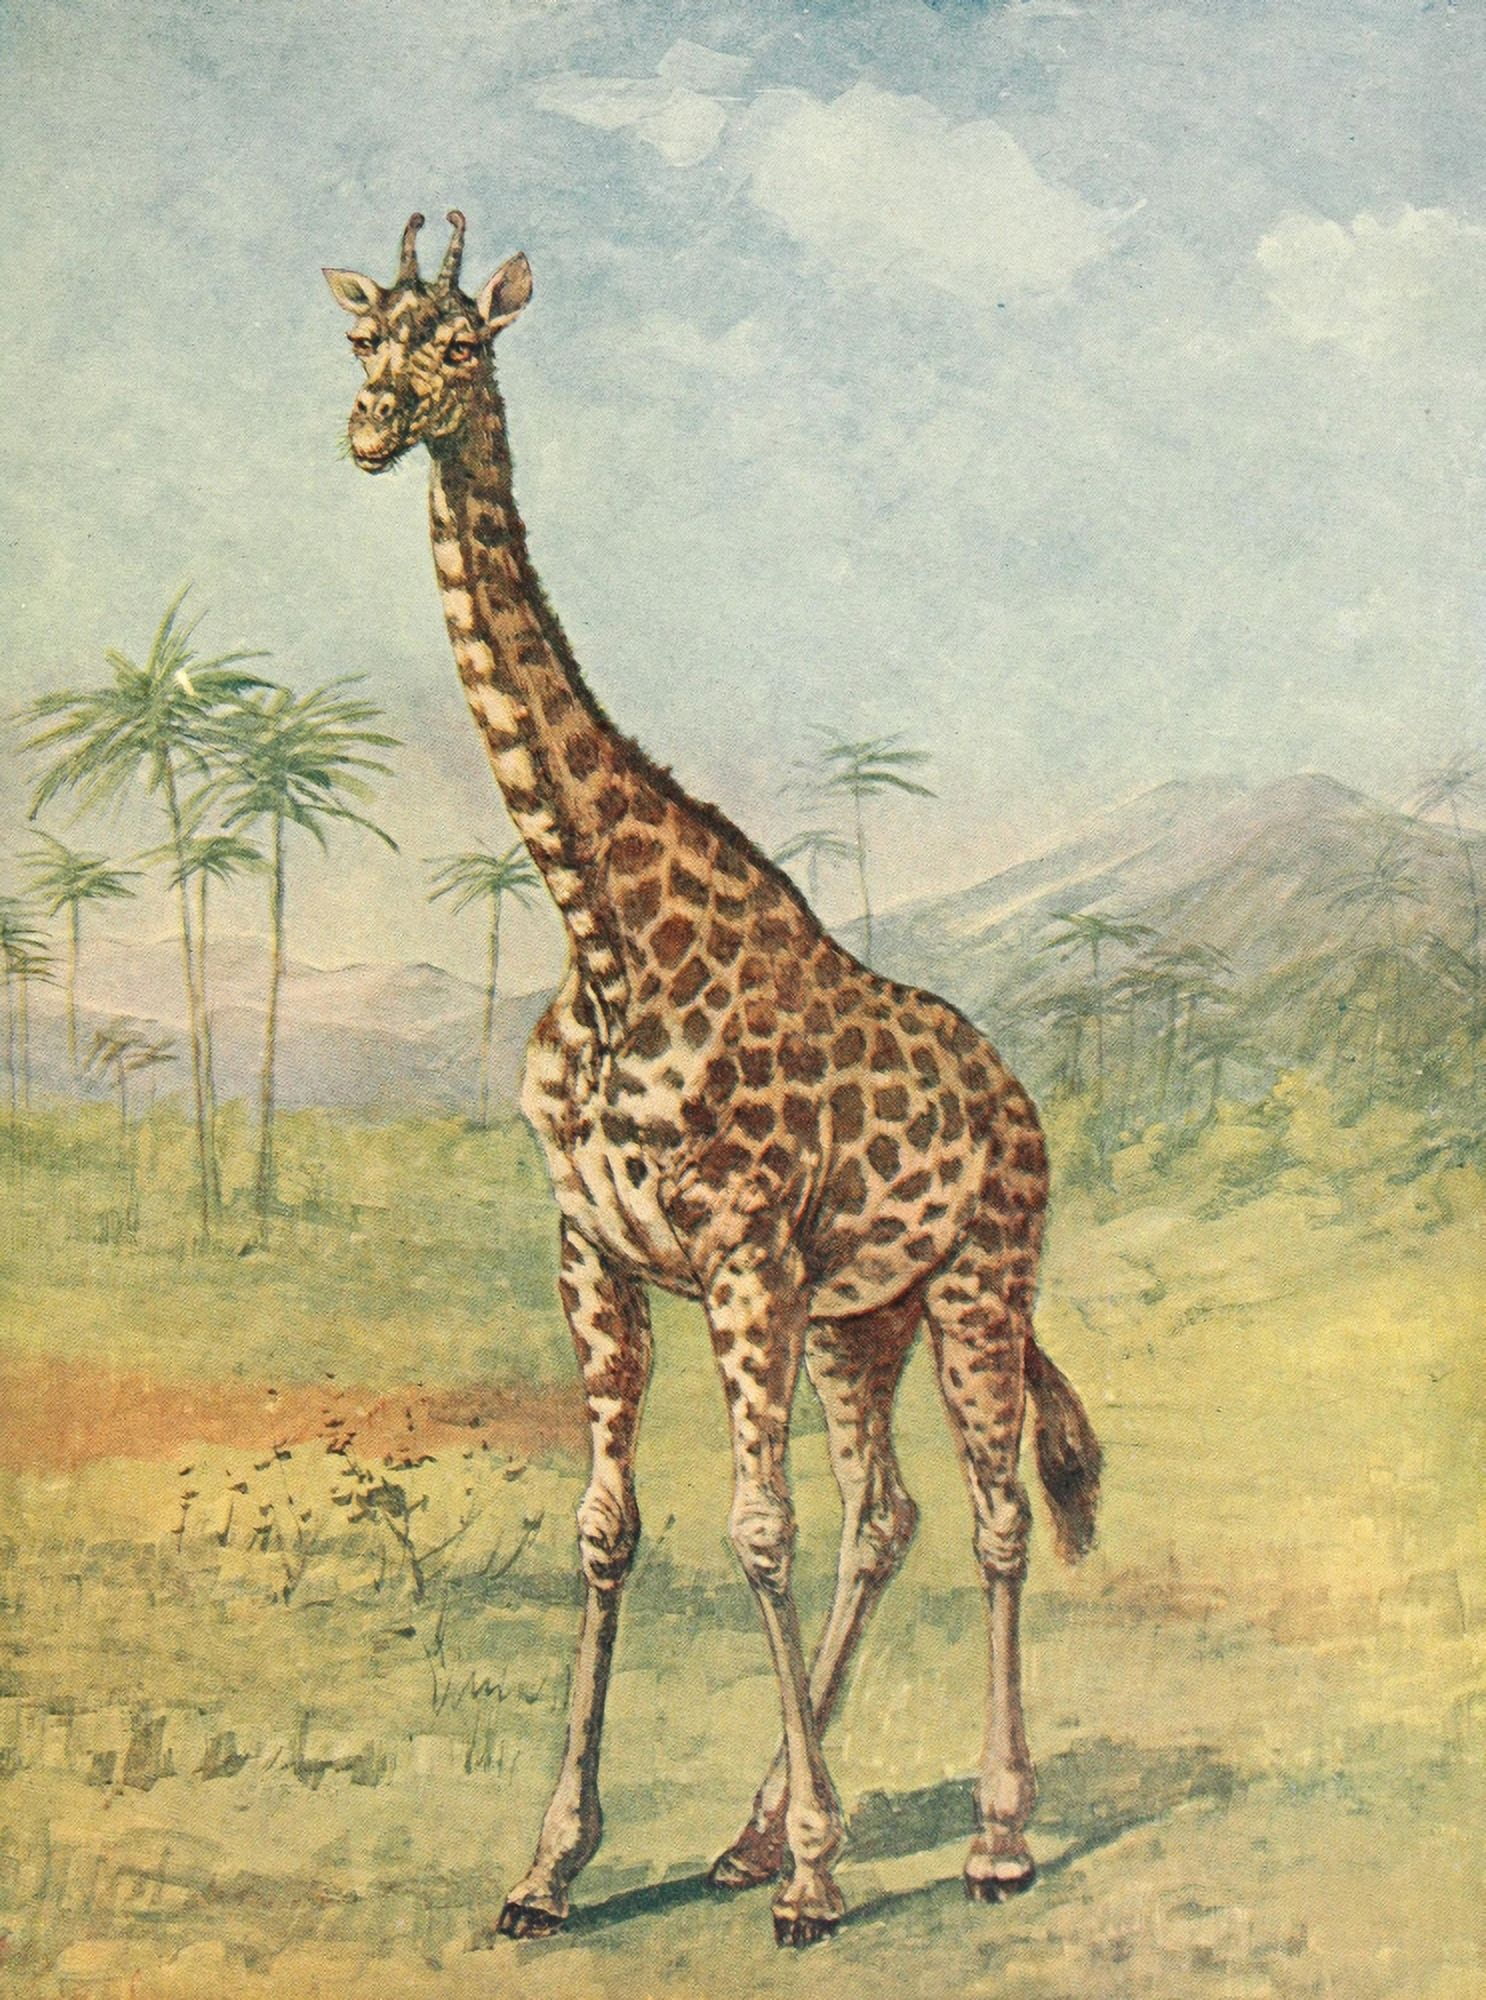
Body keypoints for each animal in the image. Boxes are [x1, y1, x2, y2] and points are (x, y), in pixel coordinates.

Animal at [326, 212, 1103, 1948]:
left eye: (458, 348)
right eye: (359, 343)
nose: (366, 432)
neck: (601, 930)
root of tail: (1015, 1097)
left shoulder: (741, 1251)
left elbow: (756, 1528)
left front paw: (817, 1877)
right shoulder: (595, 1254)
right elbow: (608, 1531)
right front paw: (551, 1865)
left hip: (976, 1281)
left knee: (993, 1518)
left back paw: (991, 1838)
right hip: (864, 1316)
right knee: (887, 1515)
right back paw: (755, 1830)